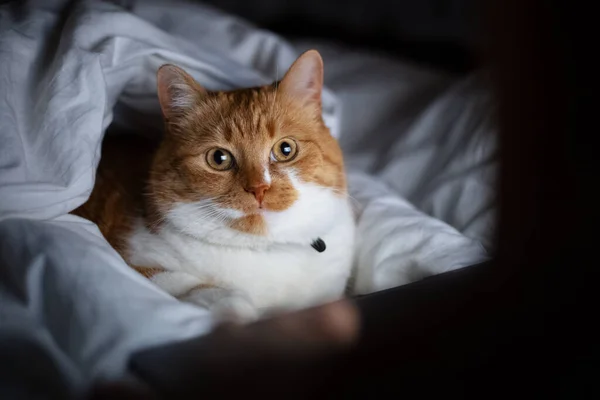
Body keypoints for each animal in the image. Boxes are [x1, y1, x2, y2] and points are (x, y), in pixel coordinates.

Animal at [74, 50, 356, 324]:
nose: (259, 188)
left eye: (285, 149)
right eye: (219, 158)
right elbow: (177, 282)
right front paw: (234, 306)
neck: (264, 250)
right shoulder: (127, 260)